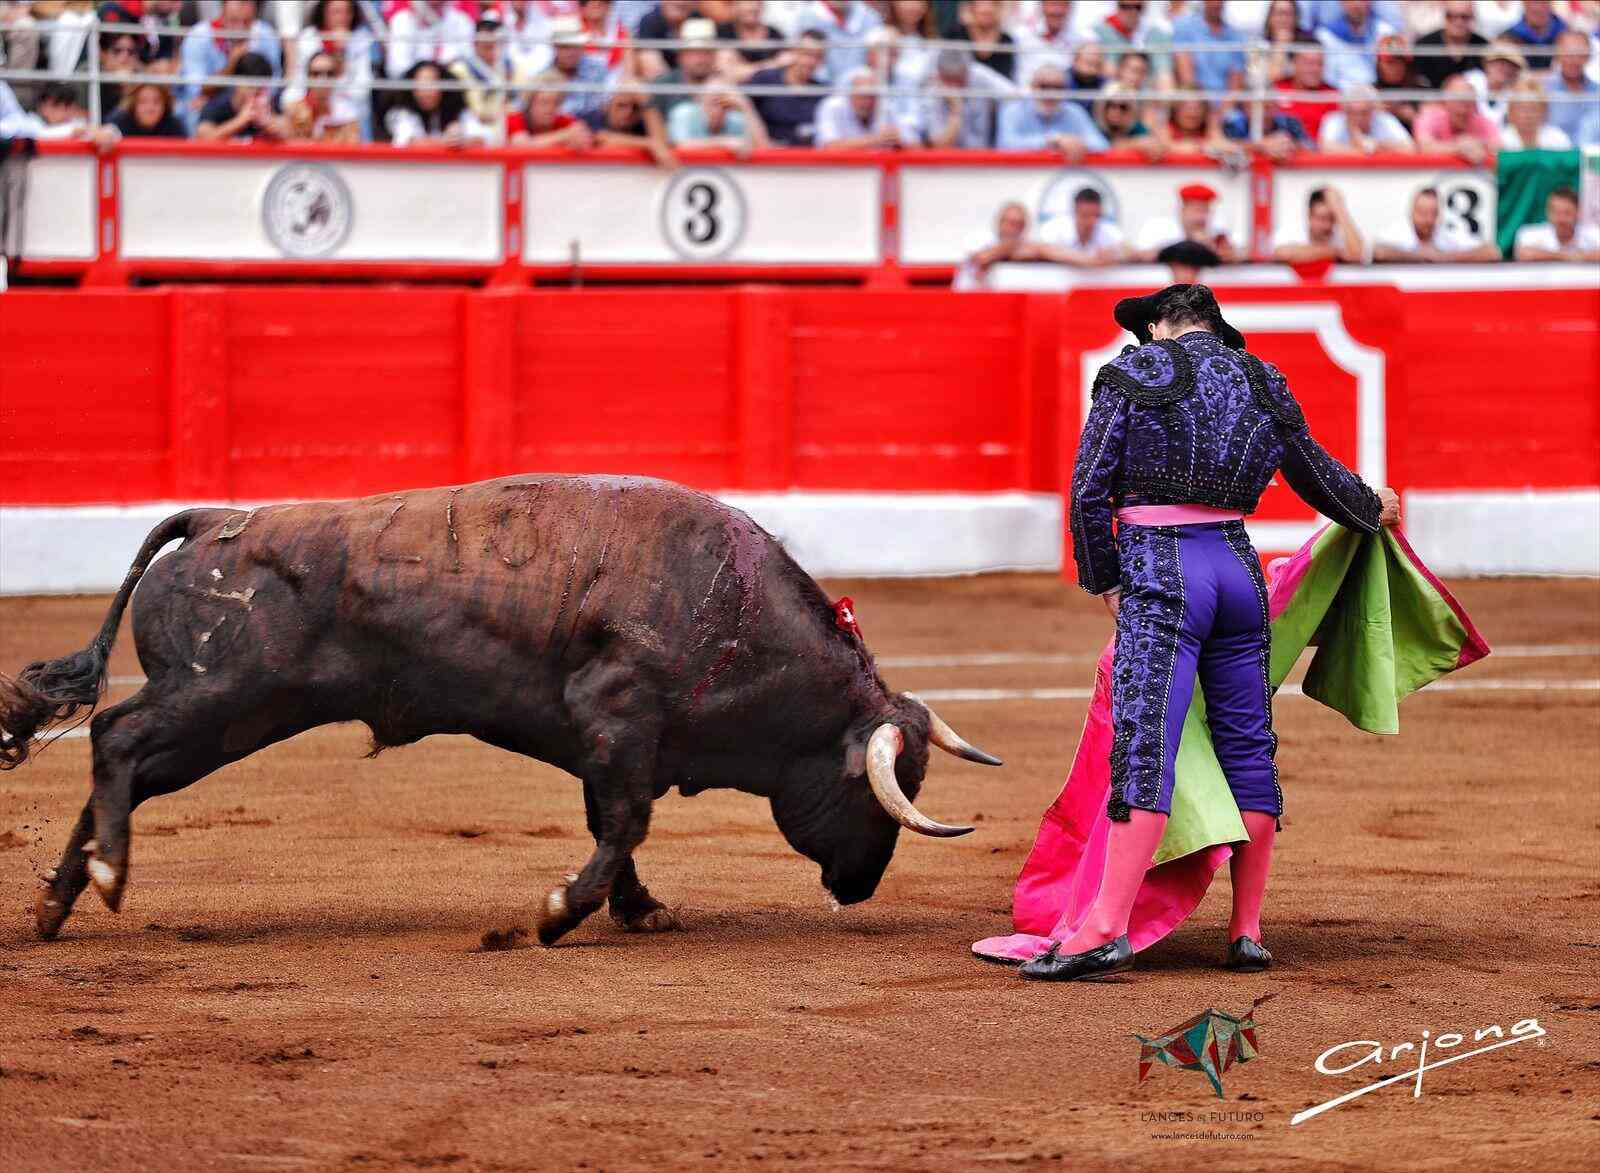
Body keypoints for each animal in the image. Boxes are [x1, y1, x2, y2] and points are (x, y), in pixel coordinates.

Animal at [1, 475, 1000, 945]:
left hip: (227, 711)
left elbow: (614, 826)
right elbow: (623, 822)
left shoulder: (609, 740)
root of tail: (212, 520)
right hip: (223, 698)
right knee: (116, 736)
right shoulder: (619, 720)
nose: (860, 886)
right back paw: (106, 876)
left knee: (120, 758)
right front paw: (557, 914)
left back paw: (58, 899)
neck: (736, 619)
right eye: (887, 788)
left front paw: (639, 910)